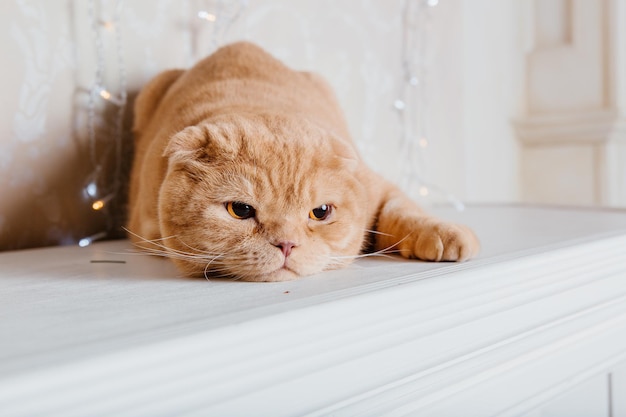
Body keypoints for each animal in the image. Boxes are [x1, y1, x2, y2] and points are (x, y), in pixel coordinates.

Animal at [125, 40, 478, 282]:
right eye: (240, 210)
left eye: (320, 212)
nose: (286, 245)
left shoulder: (377, 186)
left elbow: (404, 210)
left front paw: (444, 232)